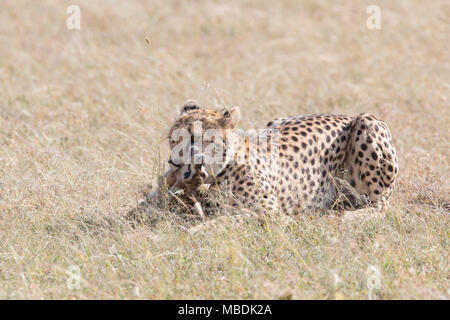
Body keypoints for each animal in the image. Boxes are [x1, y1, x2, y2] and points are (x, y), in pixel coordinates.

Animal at [165, 100, 398, 215]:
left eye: (194, 137)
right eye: (173, 140)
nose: (173, 162)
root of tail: (345, 116)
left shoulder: (269, 213)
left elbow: (223, 221)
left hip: (367, 122)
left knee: (380, 206)